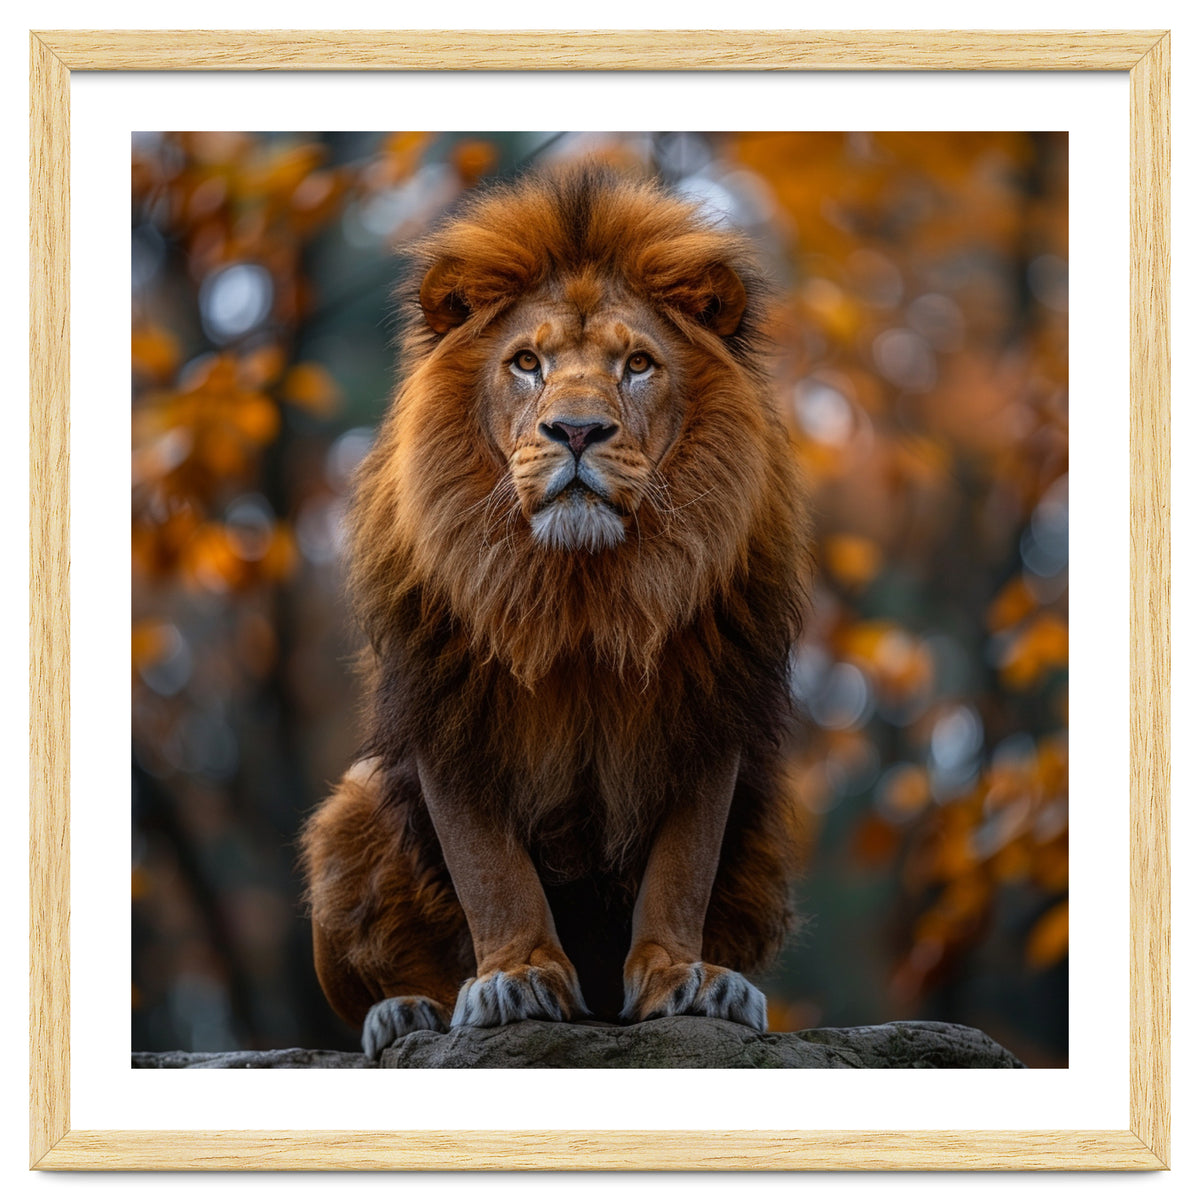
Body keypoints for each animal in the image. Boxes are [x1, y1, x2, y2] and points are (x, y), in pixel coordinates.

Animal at [301, 163, 810, 1058]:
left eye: (638, 363)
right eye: (527, 362)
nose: (576, 430)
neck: (582, 593)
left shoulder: (710, 707)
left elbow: (683, 867)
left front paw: (684, 978)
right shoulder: (447, 707)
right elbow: (488, 869)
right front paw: (515, 979)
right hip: (347, 810)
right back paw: (406, 1011)